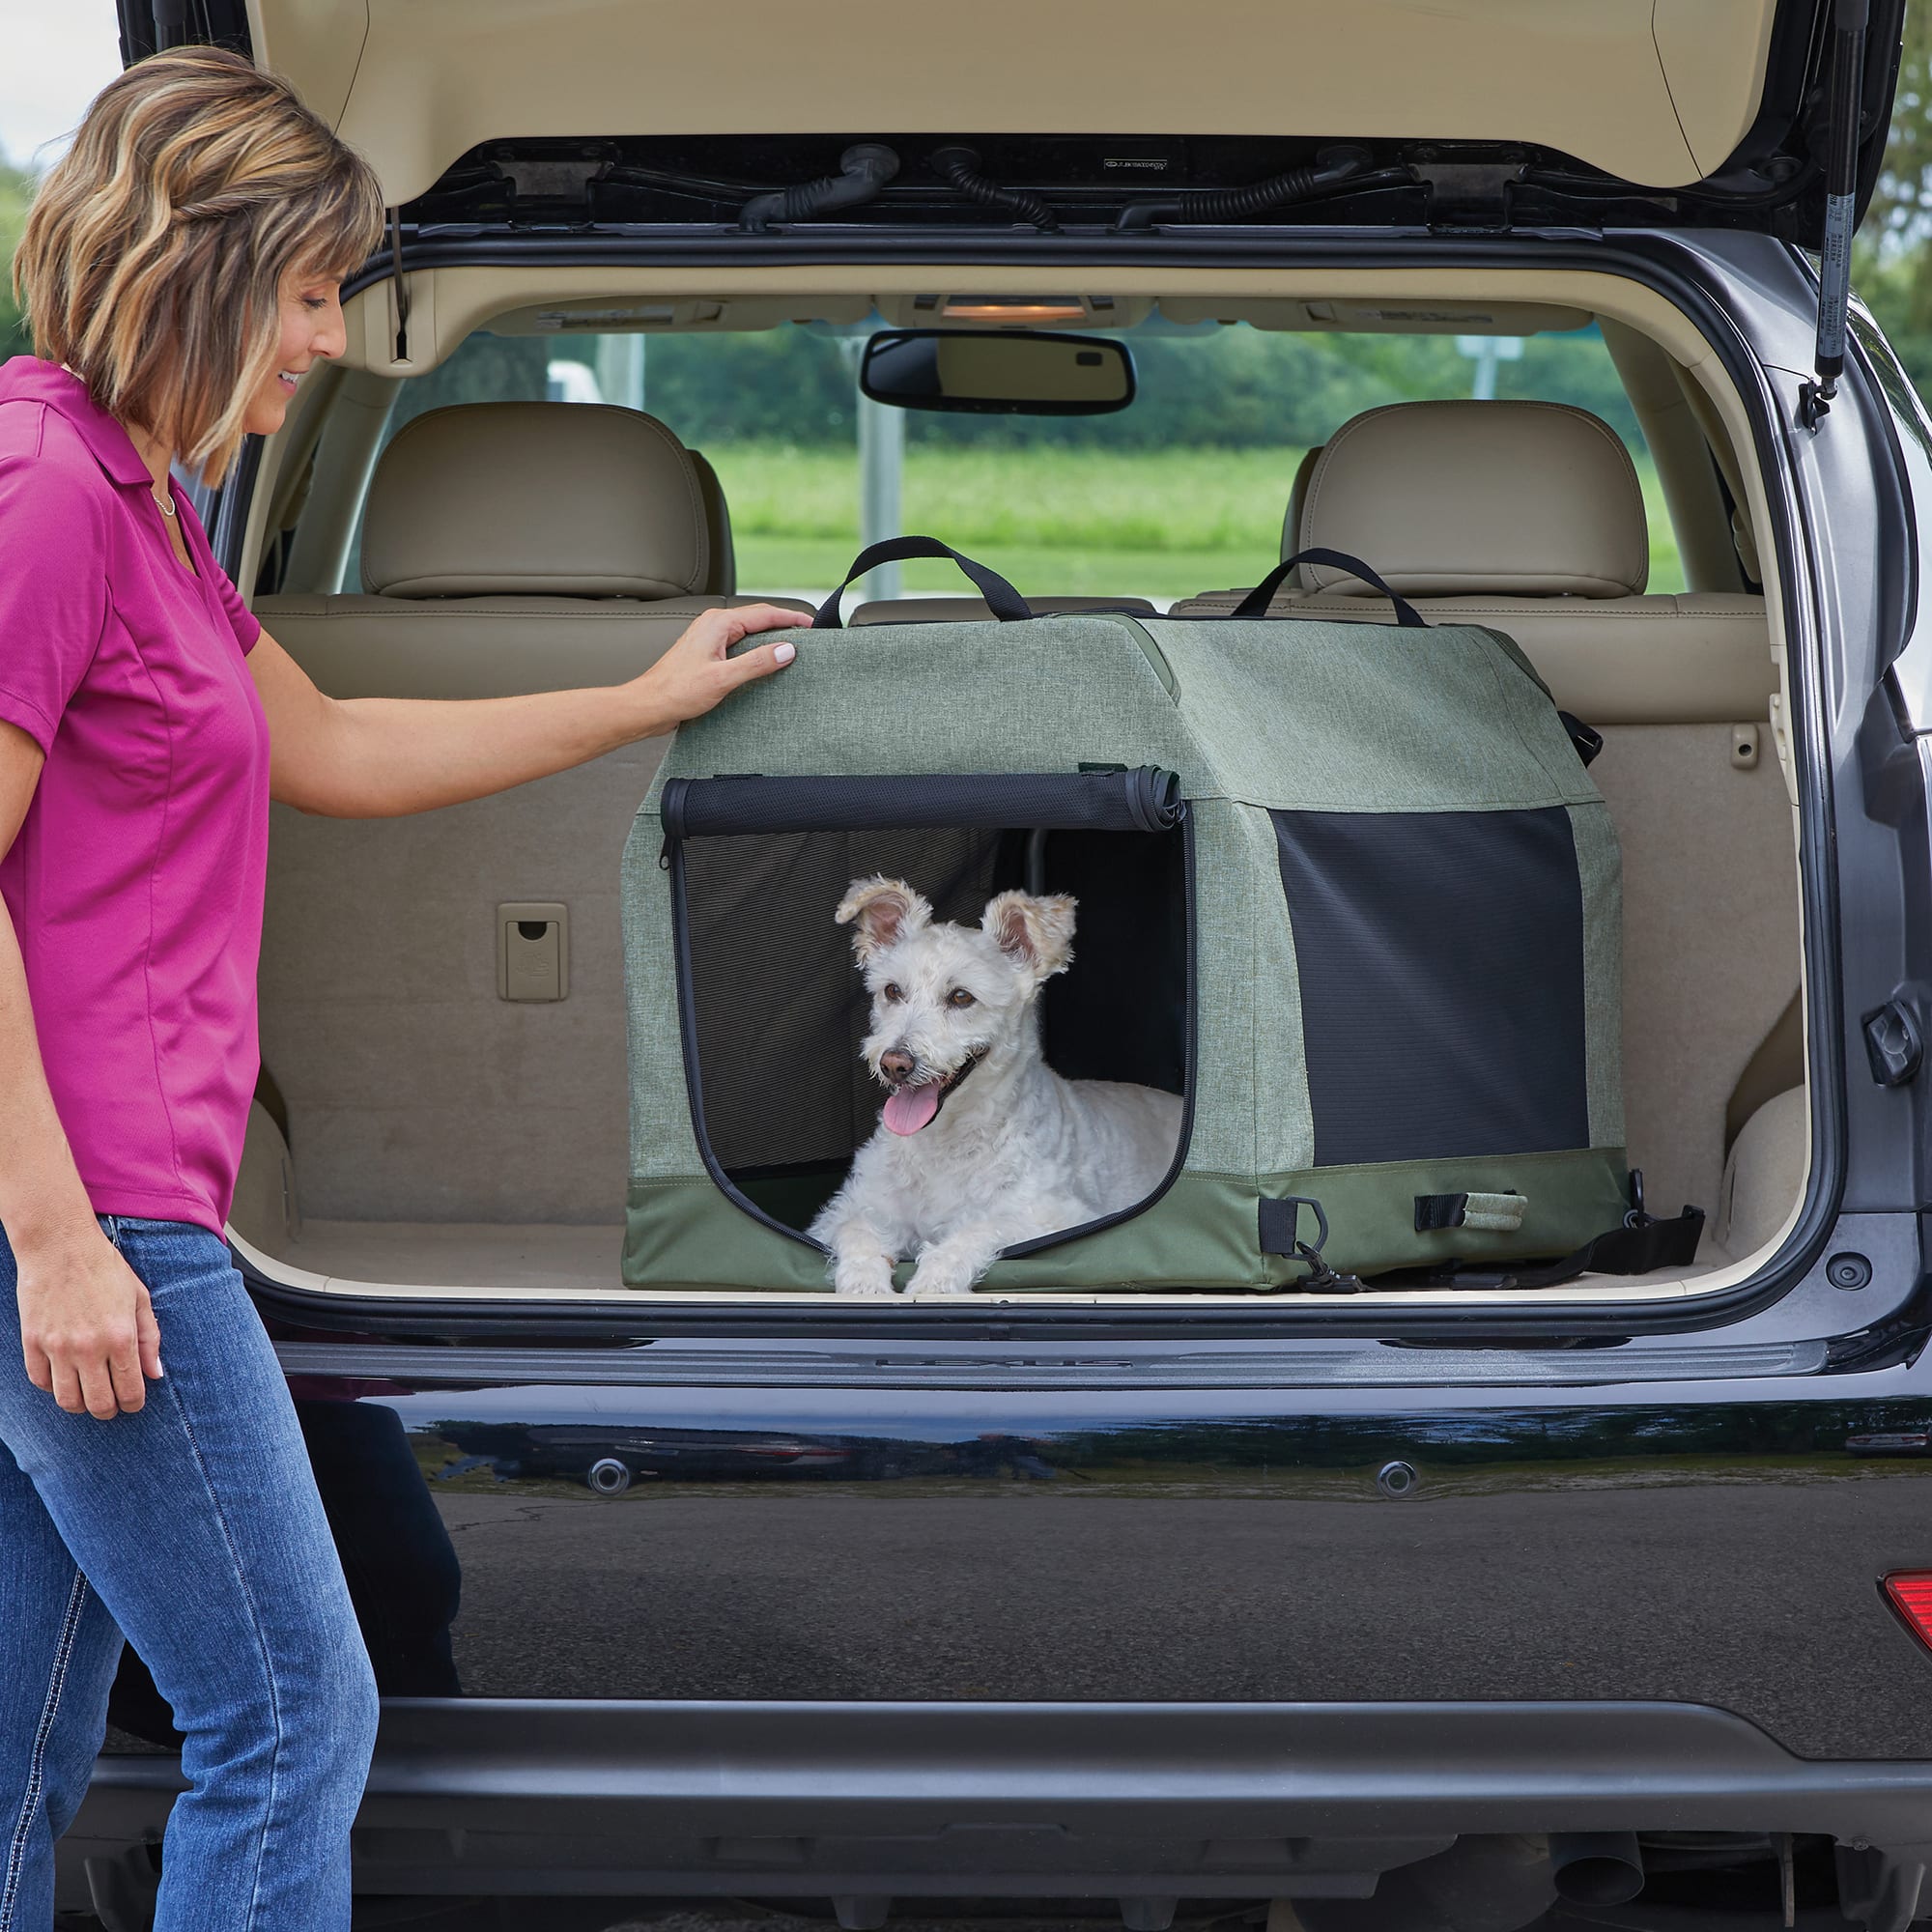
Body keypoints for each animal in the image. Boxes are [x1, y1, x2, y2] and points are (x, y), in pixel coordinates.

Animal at [808, 877, 1182, 1298]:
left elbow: (980, 1227)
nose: (895, 1063)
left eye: (961, 997)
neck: (944, 1143)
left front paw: (933, 1282)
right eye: (892, 991)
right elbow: (856, 1230)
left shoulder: (1061, 1218)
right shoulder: (847, 1210)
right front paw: (864, 1284)